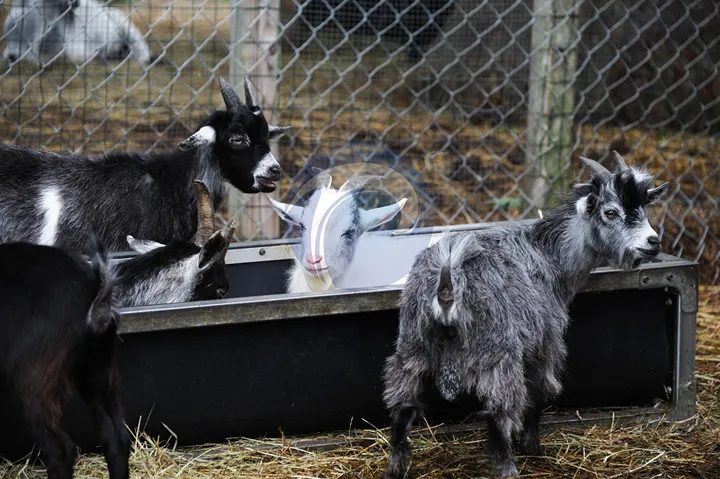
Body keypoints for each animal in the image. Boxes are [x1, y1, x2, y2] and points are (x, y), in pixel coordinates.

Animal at [382, 152, 669, 478]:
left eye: (644, 208)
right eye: (610, 212)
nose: (652, 241)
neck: (551, 255)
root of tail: (448, 276)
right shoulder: (546, 341)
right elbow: (540, 393)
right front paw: (532, 446)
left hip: (414, 341)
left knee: (402, 401)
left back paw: (397, 466)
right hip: (498, 351)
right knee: (499, 410)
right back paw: (508, 467)